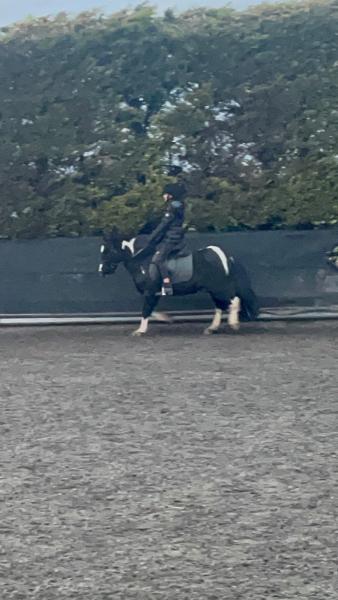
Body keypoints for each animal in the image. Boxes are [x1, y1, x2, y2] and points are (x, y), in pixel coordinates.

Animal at [97, 229, 258, 336]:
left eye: (108, 251)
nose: (102, 270)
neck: (142, 260)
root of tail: (222, 255)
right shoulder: (154, 292)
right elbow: (150, 309)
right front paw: (166, 318)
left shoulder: (150, 291)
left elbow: (146, 309)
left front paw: (140, 331)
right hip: (214, 289)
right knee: (220, 306)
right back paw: (212, 328)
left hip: (220, 287)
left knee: (234, 301)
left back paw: (234, 324)